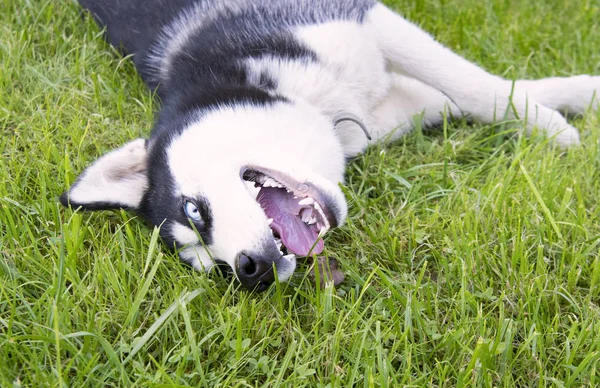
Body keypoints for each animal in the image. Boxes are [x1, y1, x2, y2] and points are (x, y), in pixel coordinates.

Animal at [61, 0, 600, 292]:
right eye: (211, 266)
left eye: (193, 211)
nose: (250, 270)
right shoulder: (390, 110)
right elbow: (478, 94)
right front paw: (568, 102)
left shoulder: (362, 21)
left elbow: (476, 85)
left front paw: (554, 123)